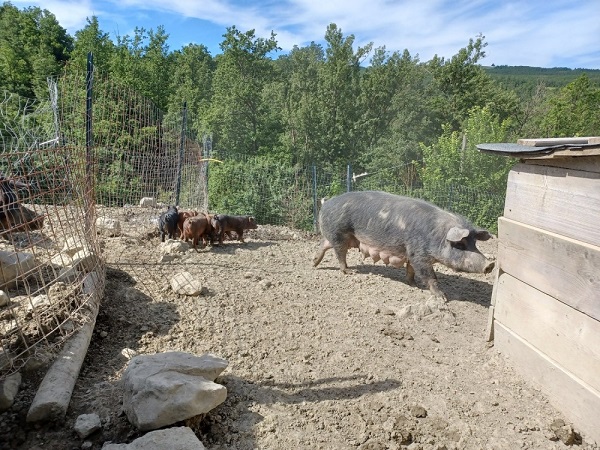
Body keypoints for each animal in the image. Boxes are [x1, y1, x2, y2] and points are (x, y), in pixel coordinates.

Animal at [312, 191, 494, 300]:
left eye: (474, 243)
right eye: (461, 245)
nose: (490, 264)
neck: (437, 235)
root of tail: (326, 203)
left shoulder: (410, 253)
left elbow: (411, 270)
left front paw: (413, 285)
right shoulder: (418, 253)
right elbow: (430, 276)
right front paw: (442, 297)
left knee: (324, 244)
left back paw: (314, 263)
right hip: (339, 232)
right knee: (339, 253)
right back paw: (349, 271)